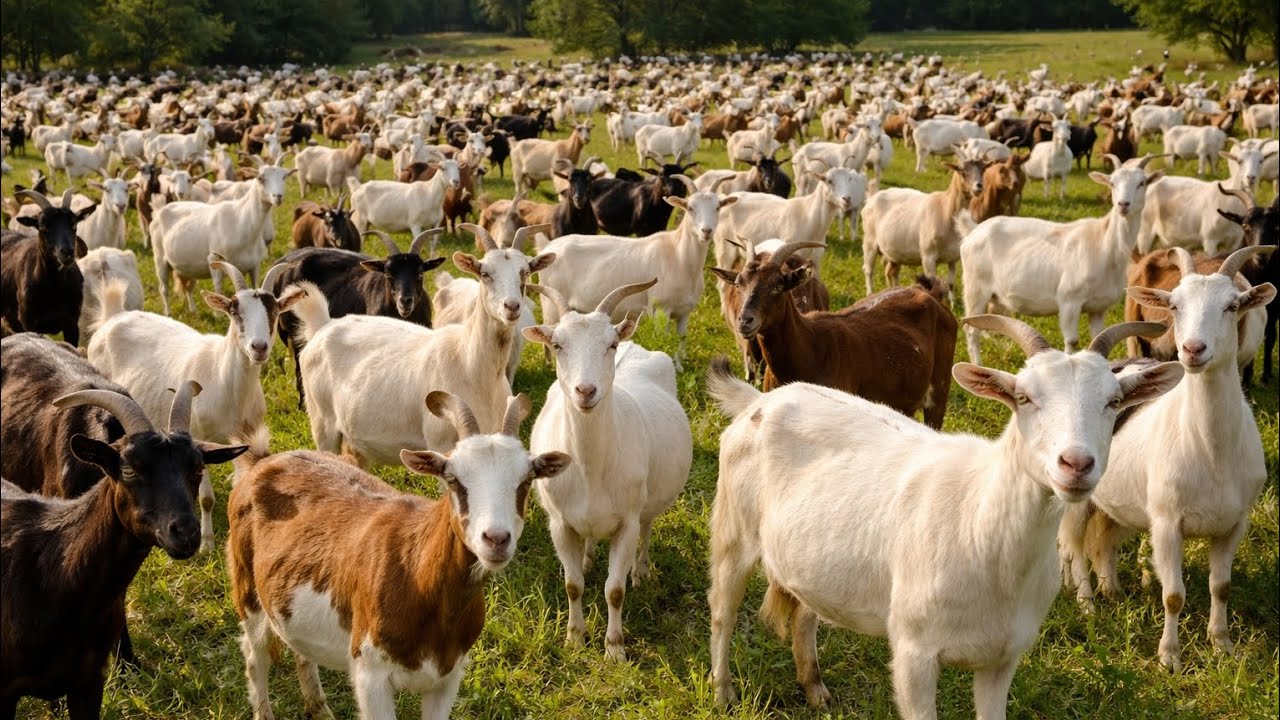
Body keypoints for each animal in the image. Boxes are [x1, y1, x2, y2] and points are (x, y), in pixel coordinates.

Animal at [705, 318, 1182, 712]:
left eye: (1114, 401)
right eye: (1023, 397)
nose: (1076, 464)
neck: (979, 522)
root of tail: (761, 399)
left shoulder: (1002, 658)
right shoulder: (914, 653)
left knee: (805, 613)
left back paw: (816, 691)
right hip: (733, 529)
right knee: (722, 610)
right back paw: (723, 692)